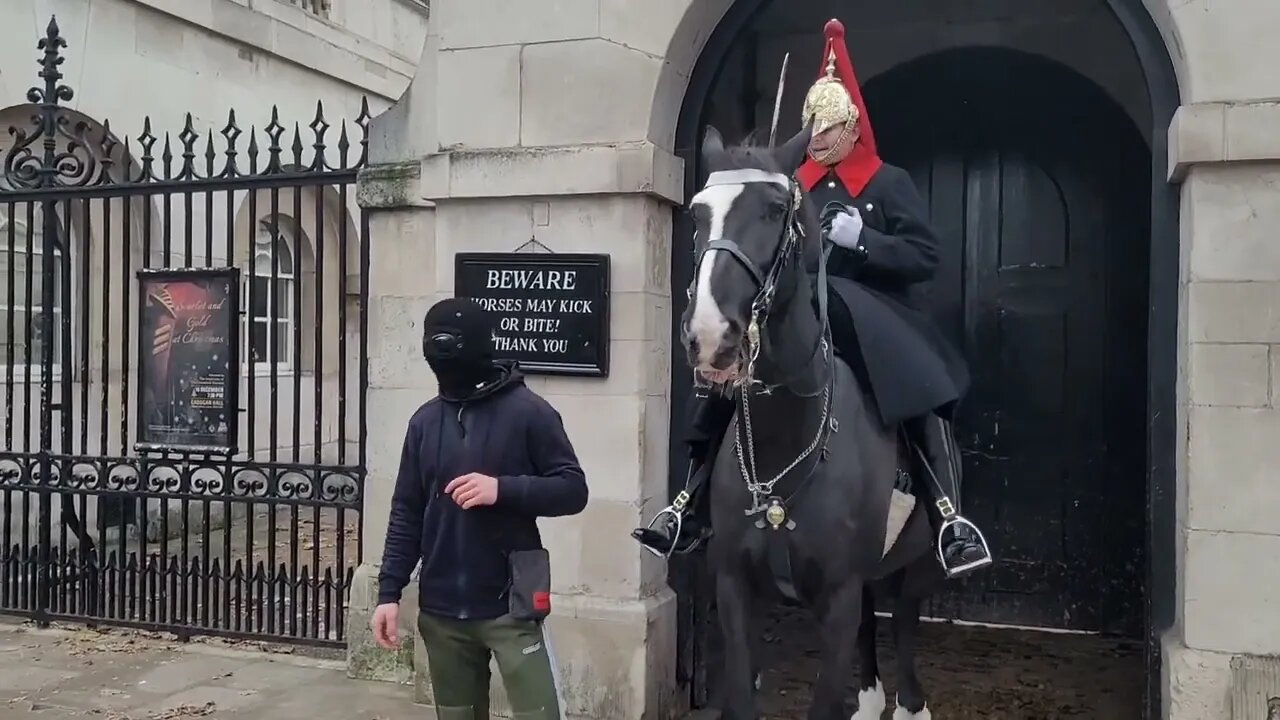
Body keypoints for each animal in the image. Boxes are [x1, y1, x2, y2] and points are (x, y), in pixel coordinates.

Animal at [686, 124, 947, 717]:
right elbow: (740, 695)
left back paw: (908, 702)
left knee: (903, 624)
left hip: (918, 566)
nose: (711, 335)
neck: (787, 439)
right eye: (696, 213)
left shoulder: (838, 596)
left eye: (774, 210)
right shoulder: (736, 587)